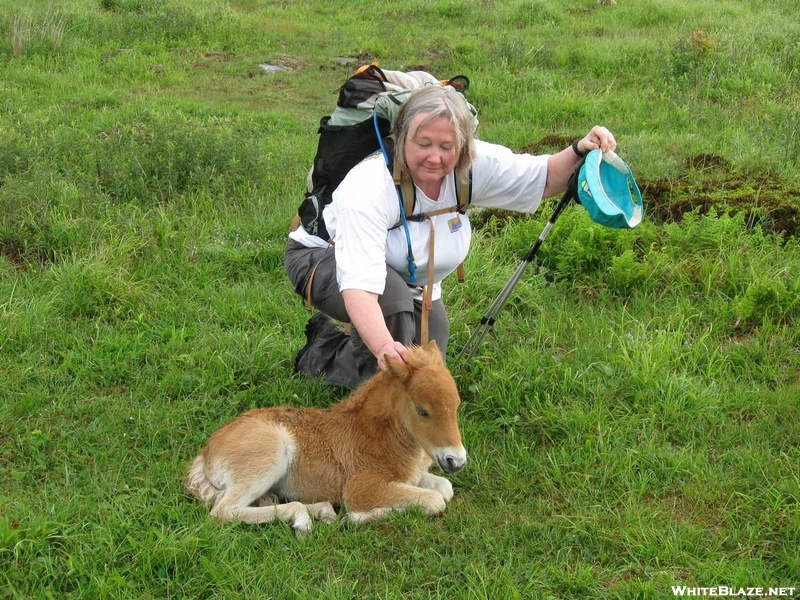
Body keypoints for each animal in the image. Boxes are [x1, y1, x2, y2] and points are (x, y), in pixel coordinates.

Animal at [184, 342, 466, 536]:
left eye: (457, 405)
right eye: (422, 410)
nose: (457, 461)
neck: (377, 433)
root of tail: (205, 455)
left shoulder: (408, 477)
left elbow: (445, 488)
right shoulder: (362, 486)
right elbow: (434, 500)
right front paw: (354, 518)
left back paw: (322, 511)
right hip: (268, 456)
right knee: (223, 511)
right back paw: (303, 519)